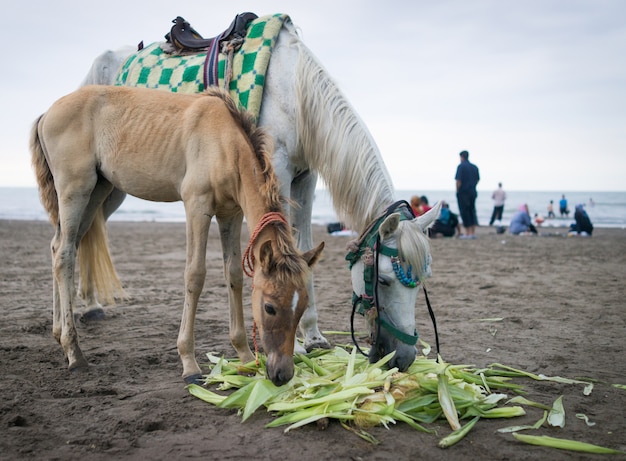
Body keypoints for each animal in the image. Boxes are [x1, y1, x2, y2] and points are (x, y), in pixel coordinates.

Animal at [80, 14, 438, 370]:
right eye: (384, 280)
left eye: (423, 278)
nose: (403, 357)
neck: (294, 93)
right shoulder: (274, 171)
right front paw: (293, 342)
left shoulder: (305, 178)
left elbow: (303, 249)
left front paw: (314, 337)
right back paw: (87, 308)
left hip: (108, 185)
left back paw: (90, 306)